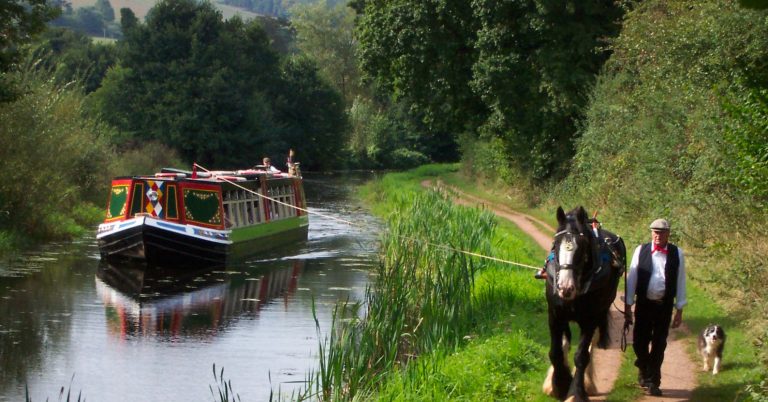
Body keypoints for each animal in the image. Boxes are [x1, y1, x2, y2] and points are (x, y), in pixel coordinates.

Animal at [544, 206, 628, 400]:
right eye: (556, 244)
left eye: (582, 247)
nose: (565, 288)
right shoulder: (555, 315)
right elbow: (555, 352)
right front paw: (558, 384)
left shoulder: (590, 319)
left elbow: (581, 356)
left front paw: (576, 392)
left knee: (589, 348)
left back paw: (587, 383)